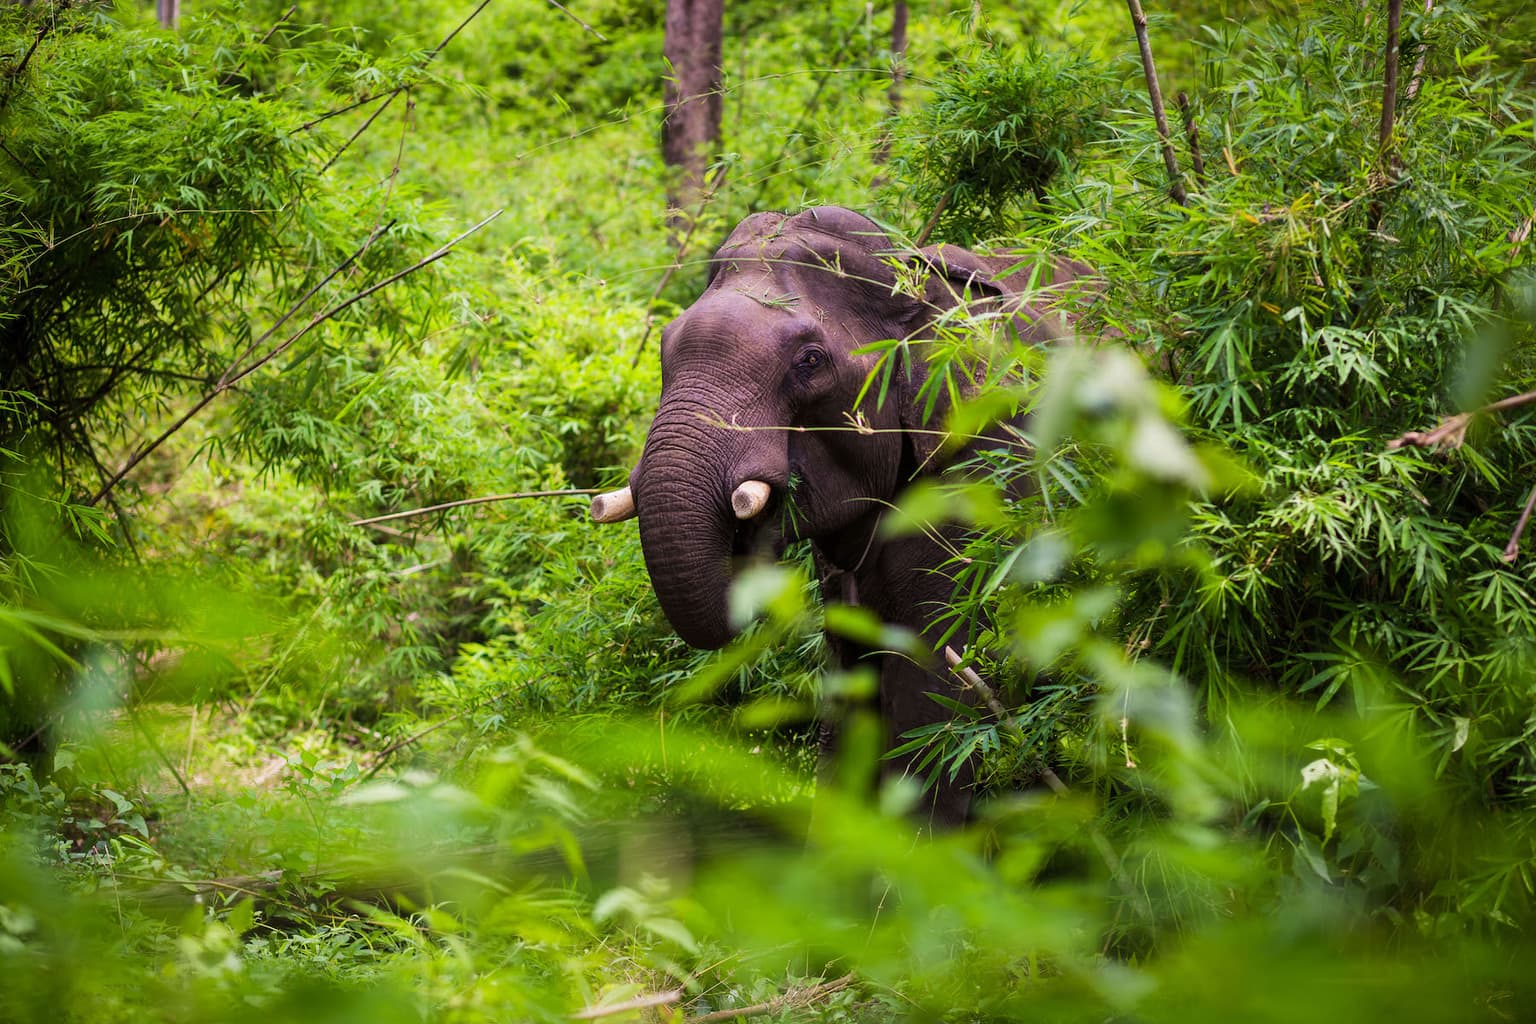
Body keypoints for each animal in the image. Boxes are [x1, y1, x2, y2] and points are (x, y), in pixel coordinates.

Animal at [586, 205, 1093, 822]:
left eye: (809, 362)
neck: (914, 274)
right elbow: (851, 684)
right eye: (663, 347)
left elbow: (932, 683)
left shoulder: (994, 463)